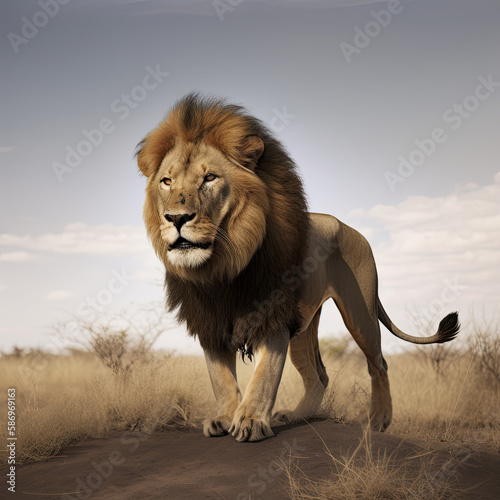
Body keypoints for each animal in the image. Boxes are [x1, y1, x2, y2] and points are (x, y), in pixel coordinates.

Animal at [135, 93, 458, 442]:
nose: (176, 218)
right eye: (166, 182)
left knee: (379, 363)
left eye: (209, 178)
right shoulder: (209, 320)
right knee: (319, 376)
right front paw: (223, 417)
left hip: (360, 314)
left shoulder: (273, 315)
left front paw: (250, 421)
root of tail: (350, 228)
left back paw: (378, 421)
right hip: (304, 327)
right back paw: (297, 416)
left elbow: (263, 376)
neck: (223, 267)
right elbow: (219, 377)